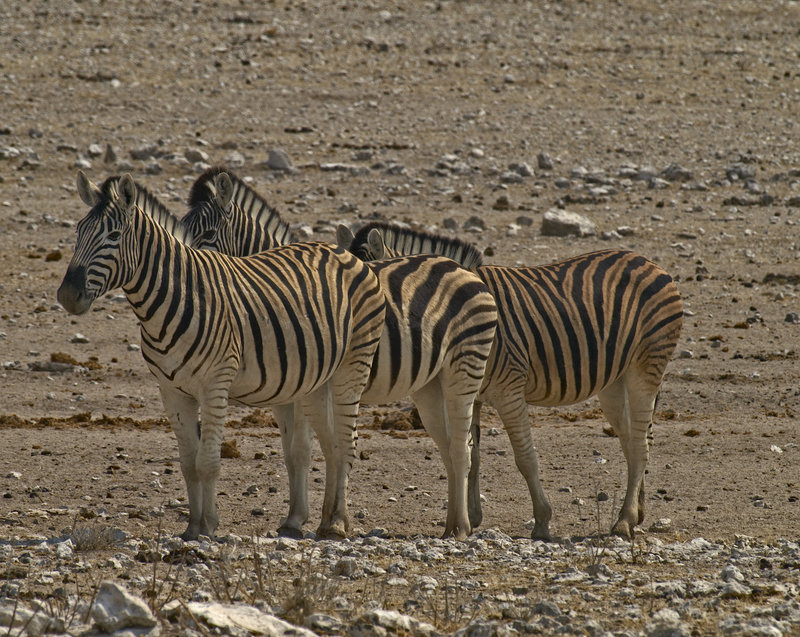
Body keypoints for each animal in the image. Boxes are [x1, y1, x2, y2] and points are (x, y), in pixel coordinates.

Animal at [56, 171, 386, 541]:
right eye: (78, 232)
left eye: (113, 236)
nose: (67, 295)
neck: (174, 299)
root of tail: (340, 251)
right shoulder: (172, 391)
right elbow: (189, 464)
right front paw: (192, 526)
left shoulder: (215, 384)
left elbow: (208, 463)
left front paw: (208, 528)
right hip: (315, 380)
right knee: (329, 446)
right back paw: (326, 520)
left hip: (352, 367)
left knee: (345, 442)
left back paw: (339, 523)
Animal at [181, 169, 499, 540]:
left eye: (208, 234)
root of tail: (463, 270)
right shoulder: (284, 395)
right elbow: (296, 453)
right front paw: (303, 516)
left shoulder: (304, 387)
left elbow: (304, 451)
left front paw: (301, 519)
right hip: (432, 382)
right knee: (455, 444)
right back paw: (458, 522)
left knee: (464, 445)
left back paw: (463, 523)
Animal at [338, 221, 684, 540]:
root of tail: (647, 260)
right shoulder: (473, 392)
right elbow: (473, 454)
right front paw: (472, 515)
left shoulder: (509, 389)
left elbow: (525, 458)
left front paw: (542, 521)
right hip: (614, 380)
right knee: (632, 439)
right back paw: (637, 512)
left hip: (646, 365)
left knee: (639, 443)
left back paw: (624, 522)